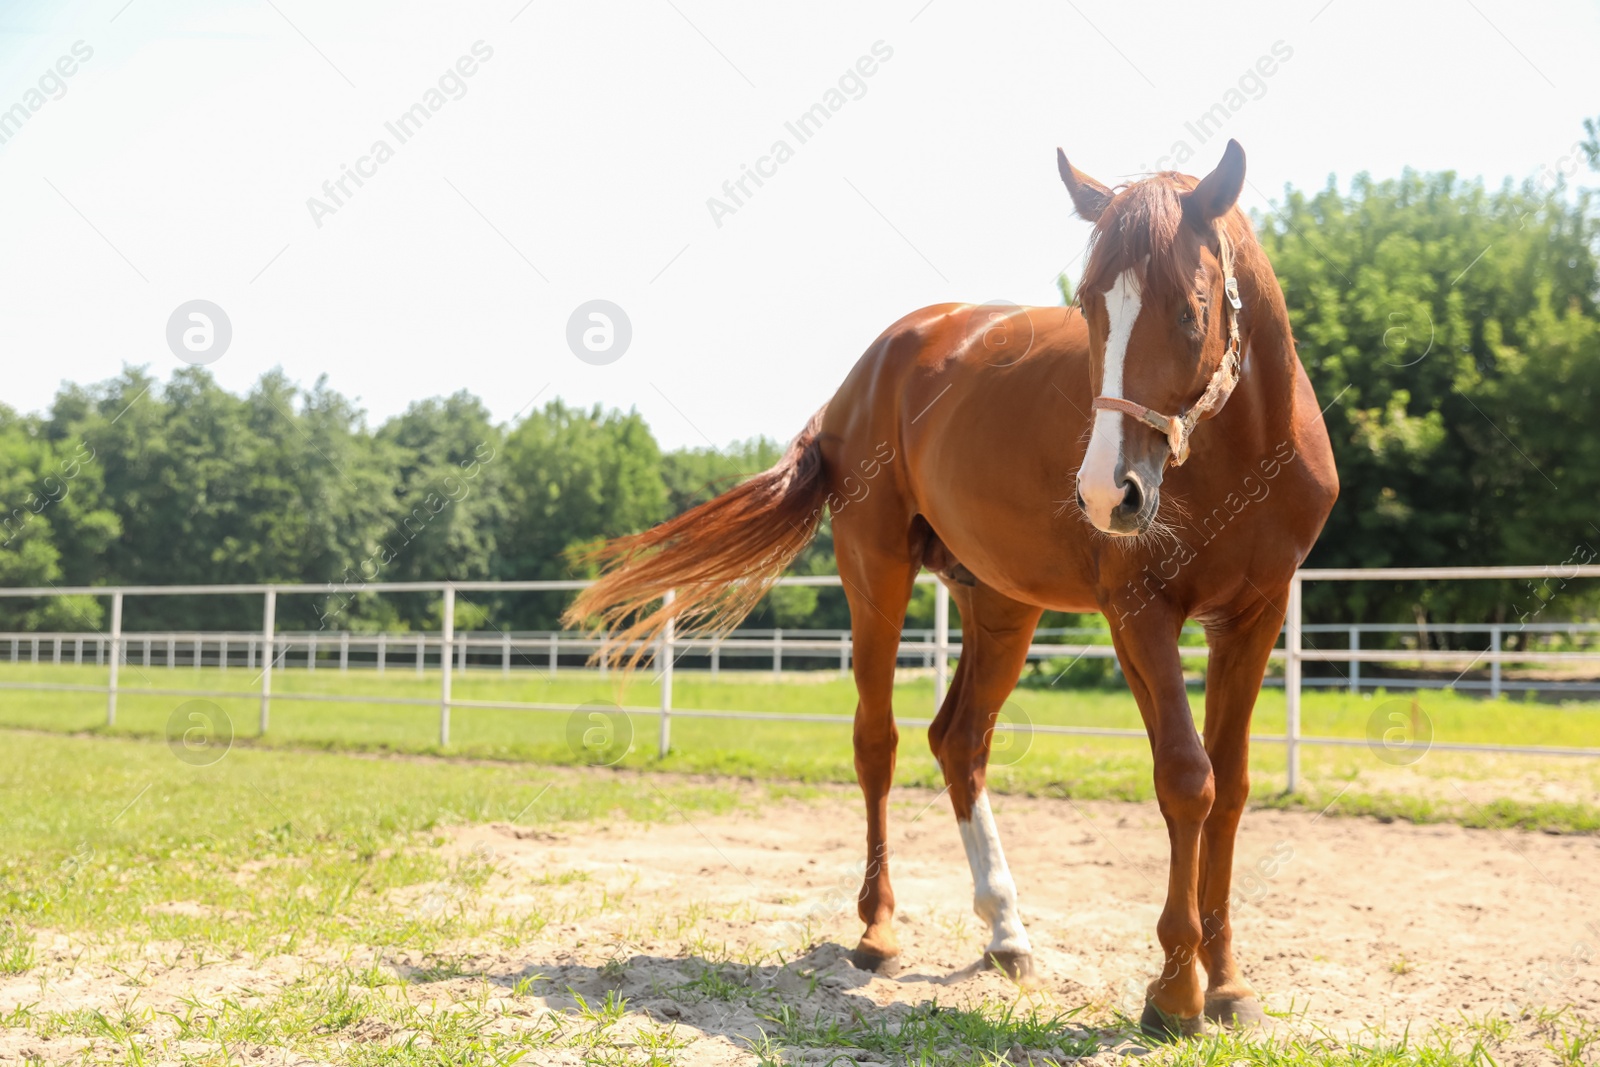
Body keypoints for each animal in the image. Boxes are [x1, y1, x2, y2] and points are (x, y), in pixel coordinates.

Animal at [565, 139, 1338, 1038]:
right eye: (1089, 306)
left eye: (1191, 309)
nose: (1108, 494)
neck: (1239, 451)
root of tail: (866, 371)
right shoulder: (1139, 615)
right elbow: (1187, 778)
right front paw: (1175, 992)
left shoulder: (1253, 616)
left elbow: (1234, 786)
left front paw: (1227, 982)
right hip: (877, 575)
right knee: (879, 741)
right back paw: (879, 929)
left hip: (1000, 603)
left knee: (959, 739)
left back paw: (1006, 930)